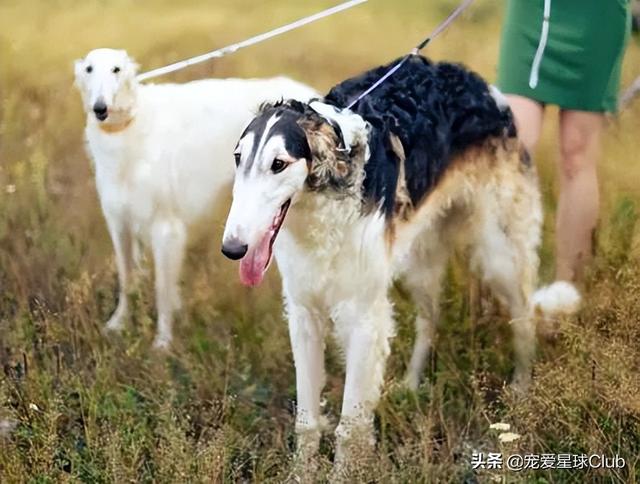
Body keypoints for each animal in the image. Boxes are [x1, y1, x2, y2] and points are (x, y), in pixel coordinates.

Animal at [74, 47, 318, 348]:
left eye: (116, 69)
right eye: (89, 69)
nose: (100, 109)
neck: (131, 127)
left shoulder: (166, 229)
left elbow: (163, 290)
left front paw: (163, 342)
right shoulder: (119, 222)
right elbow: (126, 278)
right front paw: (118, 323)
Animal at [221, 54, 580, 464]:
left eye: (278, 164)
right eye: (237, 158)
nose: (232, 248)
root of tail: (478, 83)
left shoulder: (363, 317)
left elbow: (349, 428)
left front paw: (345, 470)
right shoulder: (304, 313)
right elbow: (308, 422)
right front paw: (302, 472)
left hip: (499, 252)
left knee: (523, 318)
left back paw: (521, 391)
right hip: (416, 262)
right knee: (430, 319)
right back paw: (410, 385)